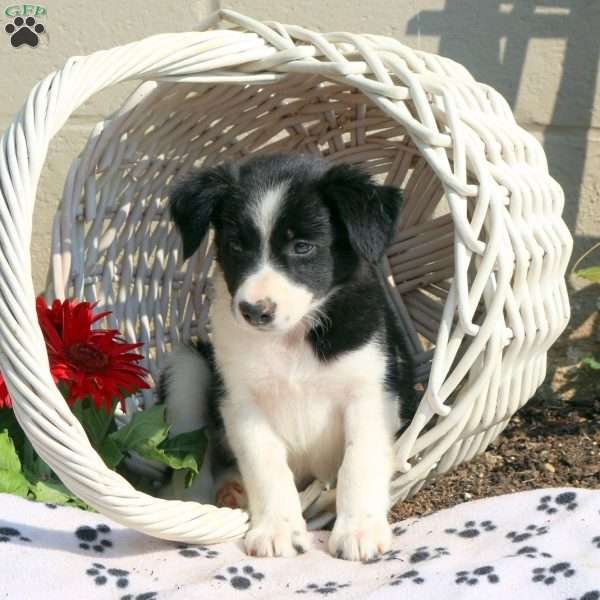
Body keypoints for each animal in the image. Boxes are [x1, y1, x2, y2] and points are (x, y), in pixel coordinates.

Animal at [164, 152, 418, 560]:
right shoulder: (241, 402)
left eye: (302, 246)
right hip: (188, 365)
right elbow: (266, 466)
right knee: (190, 461)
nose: (254, 311)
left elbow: (358, 461)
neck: (293, 339)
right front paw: (278, 530)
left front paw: (359, 529)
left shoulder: (371, 394)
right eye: (236, 245)